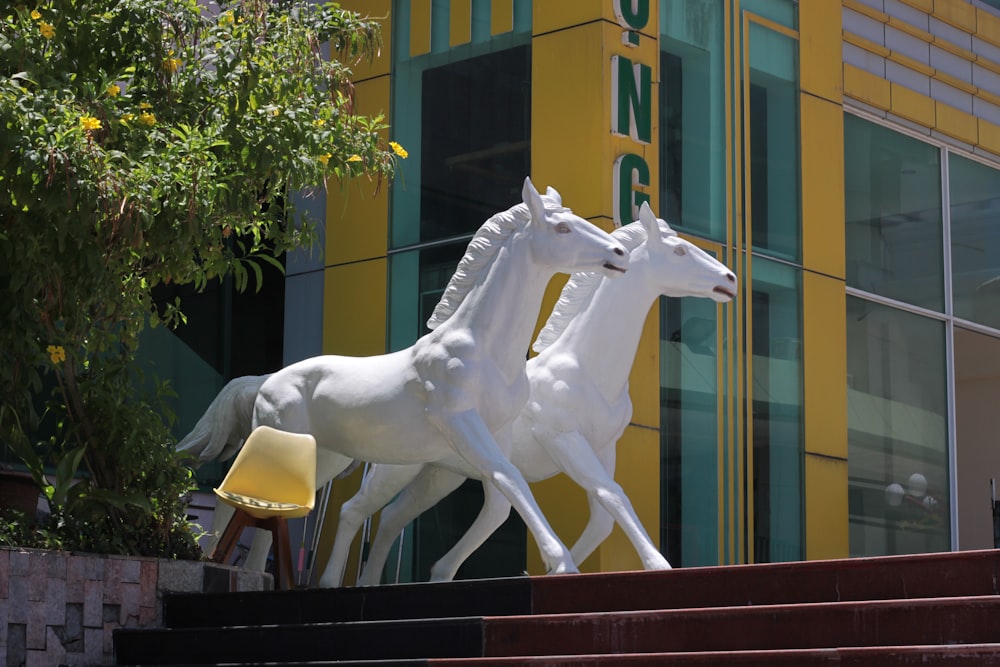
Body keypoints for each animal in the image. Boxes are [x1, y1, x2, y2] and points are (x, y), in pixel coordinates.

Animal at [172, 177, 624, 580]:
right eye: (562, 227)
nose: (618, 252)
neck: (482, 350)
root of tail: (264, 380)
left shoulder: (497, 433)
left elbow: (504, 491)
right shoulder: (460, 422)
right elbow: (511, 480)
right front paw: (561, 563)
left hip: (324, 458)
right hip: (278, 443)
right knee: (239, 498)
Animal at [340, 202, 740, 584]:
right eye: (679, 251)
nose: (731, 280)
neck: (585, 370)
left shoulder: (603, 448)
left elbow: (603, 516)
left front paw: (550, 568)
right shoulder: (562, 438)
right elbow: (613, 495)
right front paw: (657, 564)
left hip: (441, 473)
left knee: (401, 516)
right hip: (397, 467)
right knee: (358, 510)